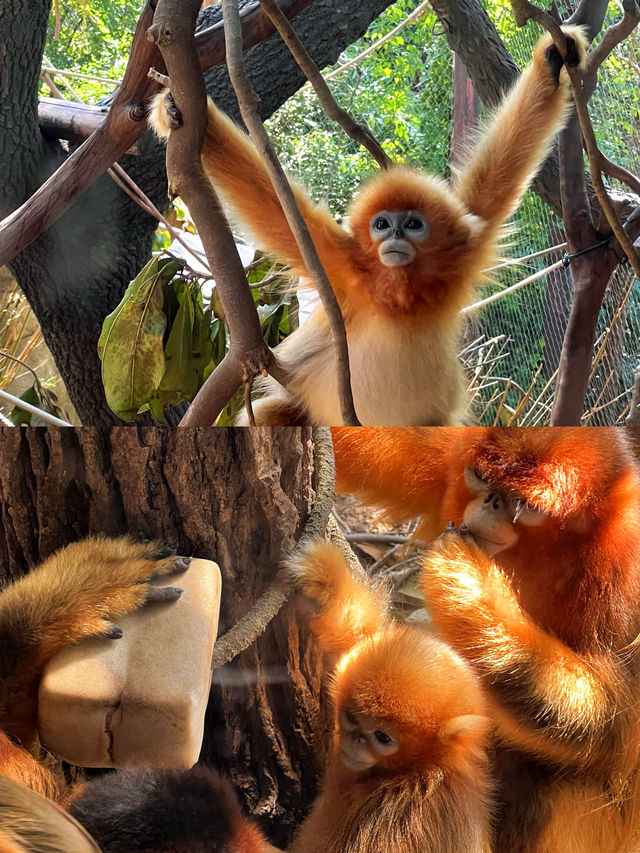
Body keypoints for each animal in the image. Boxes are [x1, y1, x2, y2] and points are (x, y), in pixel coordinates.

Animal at [149, 28, 584, 426]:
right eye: (381, 224)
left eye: (412, 223)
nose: (394, 235)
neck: (397, 297)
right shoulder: (337, 262)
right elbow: (270, 203)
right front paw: (173, 109)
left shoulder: (466, 248)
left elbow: (496, 183)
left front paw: (550, 63)